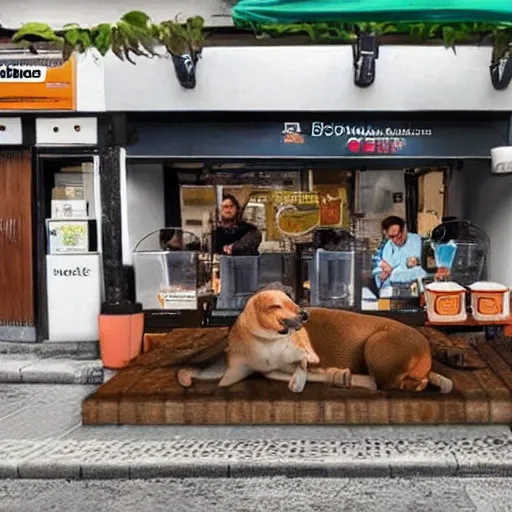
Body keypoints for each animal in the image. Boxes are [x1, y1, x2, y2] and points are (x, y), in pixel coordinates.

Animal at [179, 290, 452, 394]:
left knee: (393, 383)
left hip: (376, 346)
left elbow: (304, 364)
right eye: (276, 305)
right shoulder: (263, 368)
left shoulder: (303, 354)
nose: (303, 314)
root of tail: (424, 348)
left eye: (293, 301)